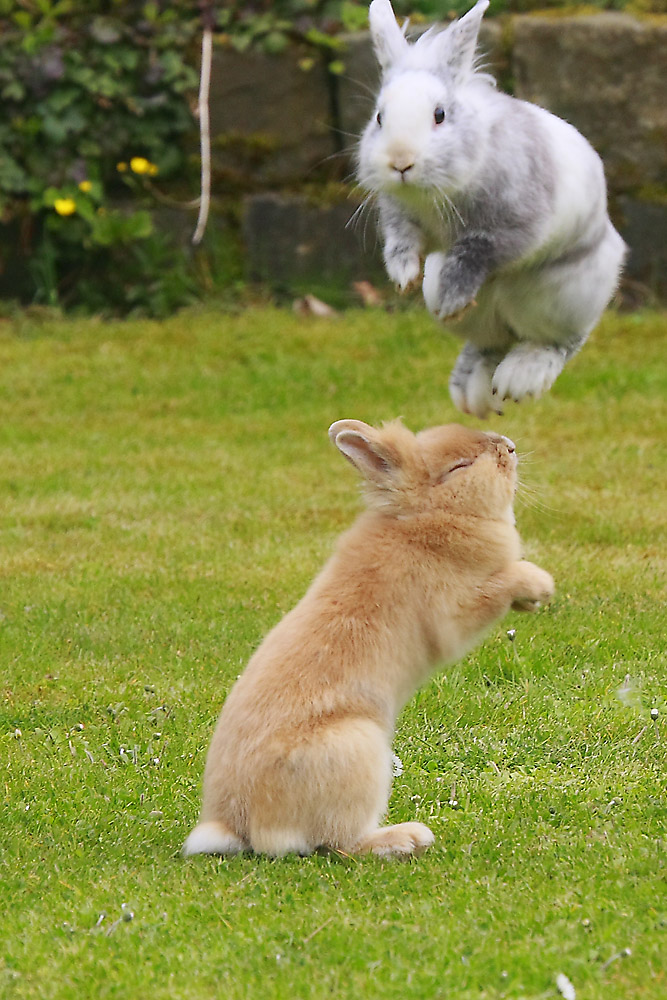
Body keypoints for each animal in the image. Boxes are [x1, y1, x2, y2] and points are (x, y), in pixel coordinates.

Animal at [183, 414, 552, 860]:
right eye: (459, 467)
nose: (509, 447)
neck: (426, 515)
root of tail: (237, 825)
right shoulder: (456, 607)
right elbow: (498, 586)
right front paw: (539, 585)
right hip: (360, 748)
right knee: (341, 843)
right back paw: (406, 838)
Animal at [360, 0, 628, 414]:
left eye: (439, 114)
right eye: (379, 118)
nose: (400, 162)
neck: (437, 192)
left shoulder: (510, 227)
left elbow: (475, 252)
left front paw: (454, 295)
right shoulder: (402, 217)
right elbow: (402, 241)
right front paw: (403, 278)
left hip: (565, 297)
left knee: (560, 342)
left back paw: (520, 376)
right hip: (468, 310)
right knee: (490, 343)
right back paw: (475, 392)